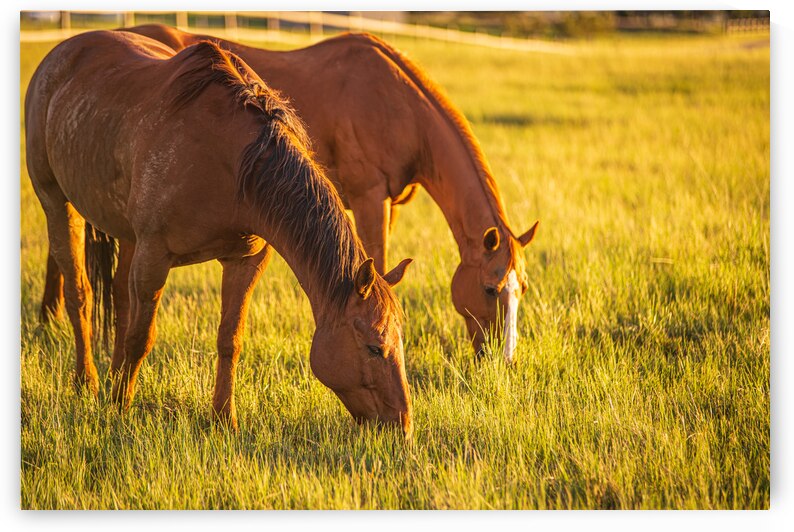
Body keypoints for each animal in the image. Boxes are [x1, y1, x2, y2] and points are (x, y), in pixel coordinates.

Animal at [23, 30, 414, 432]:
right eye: (374, 347)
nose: (402, 425)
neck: (236, 166)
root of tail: (65, 50)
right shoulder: (154, 256)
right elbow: (141, 337)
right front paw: (120, 408)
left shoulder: (244, 261)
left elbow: (230, 339)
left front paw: (224, 418)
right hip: (57, 203)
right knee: (79, 294)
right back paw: (87, 382)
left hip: (126, 234)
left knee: (119, 298)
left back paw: (113, 377)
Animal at [40, 23, 540, 362]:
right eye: (492, 288)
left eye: (523, 289)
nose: (503, 360)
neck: (393, 102)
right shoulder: (368, 197)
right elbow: (376, 261)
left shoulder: (391, 203)